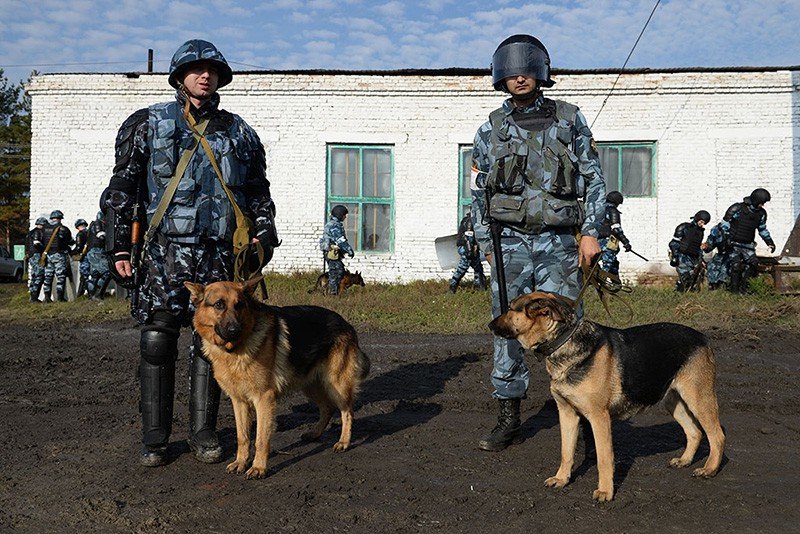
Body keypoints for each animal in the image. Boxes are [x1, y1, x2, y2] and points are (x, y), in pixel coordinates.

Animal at [186, 278, 370, 480]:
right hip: (311, 385)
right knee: (327, 408)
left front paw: (258, 467)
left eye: (239, 305)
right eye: (219, 304)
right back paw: (314, 433)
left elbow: (260, 439)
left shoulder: (264, 399)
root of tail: (346, 324)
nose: (235, 330)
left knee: (347, 412)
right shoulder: (239, 401)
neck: (235, 351)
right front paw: (241, 462)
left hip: (336, 385)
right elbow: (243, 437)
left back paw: (343, 442)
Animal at [488, 294, 724, 502]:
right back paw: (684, 461)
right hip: (674, 401)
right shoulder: (567, 414)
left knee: (717, 436)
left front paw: (605, 491)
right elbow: (566, 452)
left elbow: (604, 458)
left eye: (510, 308)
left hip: (698, 399)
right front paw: (562, 479)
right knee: (694, 432)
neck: (564, 340)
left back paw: (709, 469)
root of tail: (703, 337)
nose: (490, 325)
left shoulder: (599, 417)